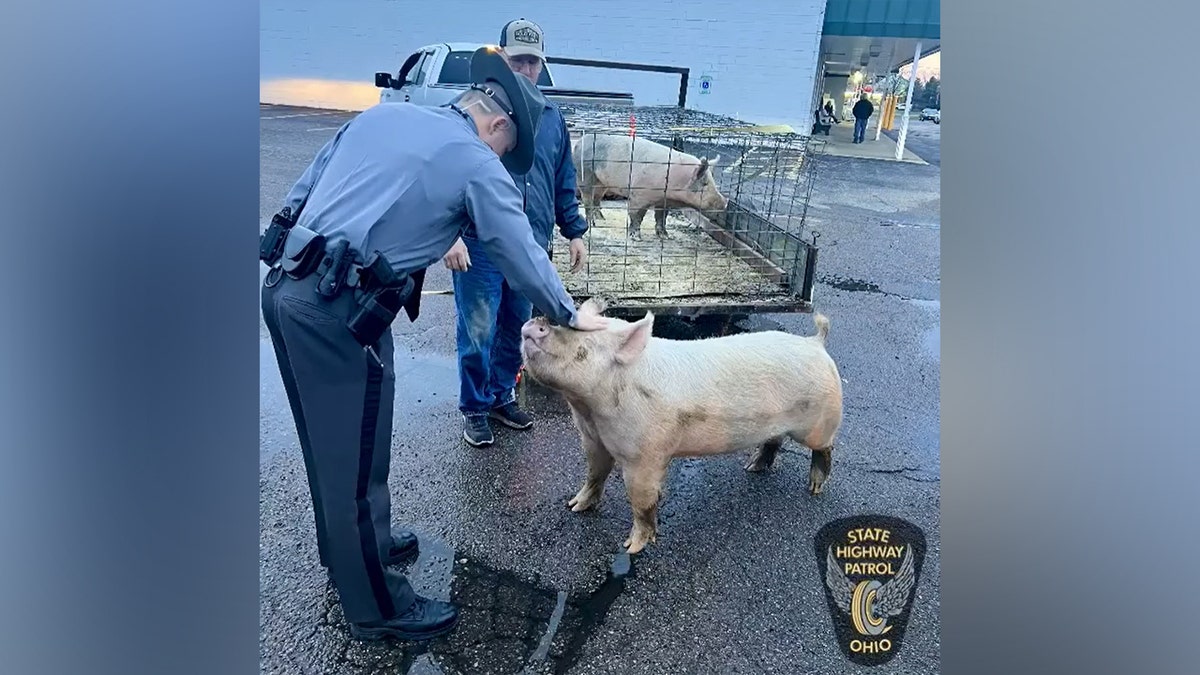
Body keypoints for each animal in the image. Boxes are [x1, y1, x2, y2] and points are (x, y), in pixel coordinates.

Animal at [518, 297, 844, 552]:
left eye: (585, 345)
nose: (536, 322)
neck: (589, 411)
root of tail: (816, 342)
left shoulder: (645, 455)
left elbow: (642, 501)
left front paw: (632, 547)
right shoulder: (593, 439)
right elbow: (594, 474)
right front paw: (574, 506)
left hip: (819, 422)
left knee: (825, 449)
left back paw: (815, 488)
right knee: (774, 441)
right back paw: (752, 467)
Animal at [573, 131, 729, 239]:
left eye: (713, 182)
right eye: (704, 183)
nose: (725, 203)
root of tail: (580, 141)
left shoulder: (663, 201)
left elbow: (661, 217)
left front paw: (665, 236)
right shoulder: (639, 195)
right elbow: (636, 215)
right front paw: (636, 238)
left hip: (602, 183)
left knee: (597, 199)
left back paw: (601, 218)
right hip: (585, 175)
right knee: (587, 199)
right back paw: (592, 223)